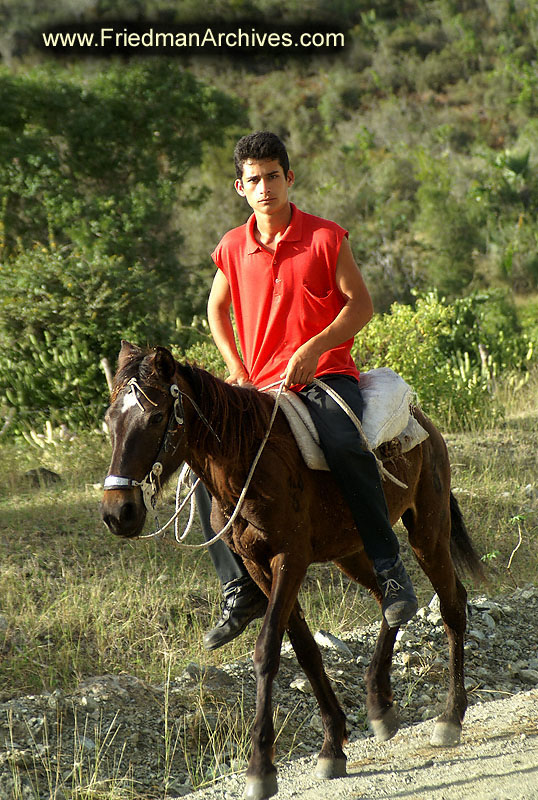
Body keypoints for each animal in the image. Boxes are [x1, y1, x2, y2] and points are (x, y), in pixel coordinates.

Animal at [99, 342, 482, 800]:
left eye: (156, 417)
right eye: (109, 422)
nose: (118, 513)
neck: (249, 457)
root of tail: (423, 421)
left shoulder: (289, 560)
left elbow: (267, 650)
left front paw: (261, 767)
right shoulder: (258, 565)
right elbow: (303, 648)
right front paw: (333, 743)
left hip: (427, 528)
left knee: (451, 603)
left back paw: (450, 717)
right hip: (350, 551)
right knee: (389, 602)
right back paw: (379, 703)